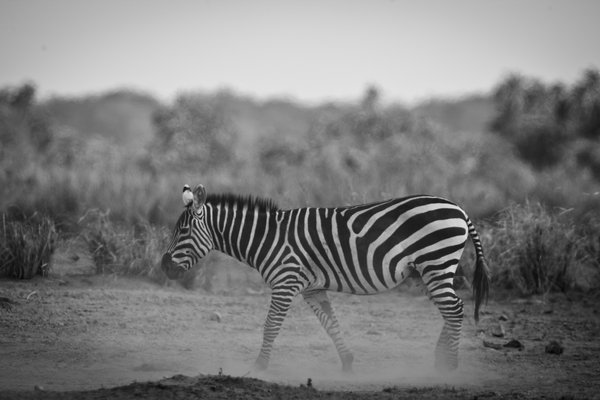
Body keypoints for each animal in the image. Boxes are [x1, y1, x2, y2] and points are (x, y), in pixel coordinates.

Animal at [162, 184, 490, 372]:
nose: (164, 267)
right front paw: (347, 363)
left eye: (184, 230)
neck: (268, 238)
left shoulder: (285, 282)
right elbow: (330, 324)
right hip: (431, 270)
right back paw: (440, 360)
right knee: (450, 310)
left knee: (455, 310)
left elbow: (271, 327)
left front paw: (259, 367)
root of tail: (458, 208)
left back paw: (449, 367)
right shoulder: (311, 288)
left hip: (437, 263)